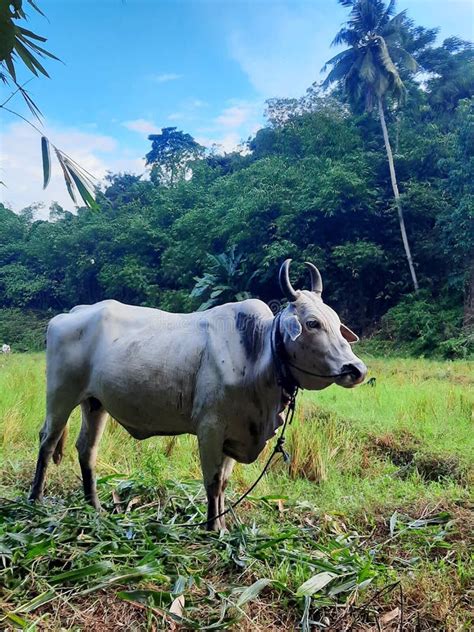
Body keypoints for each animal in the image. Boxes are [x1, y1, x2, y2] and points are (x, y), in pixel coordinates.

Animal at [29, 260, 368, 532]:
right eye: (312, 323)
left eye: (336, 322)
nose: (356, 369)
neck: (258, 349)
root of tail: (74, 312)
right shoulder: (210, 429)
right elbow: (213, 482)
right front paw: (211, 528)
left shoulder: (235, 433)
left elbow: (225, 483)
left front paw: (223, 524)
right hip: (60, 396)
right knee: (47, 441)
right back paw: (35, 501)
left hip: (95, 404)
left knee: (86, 450)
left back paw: (95, 507)